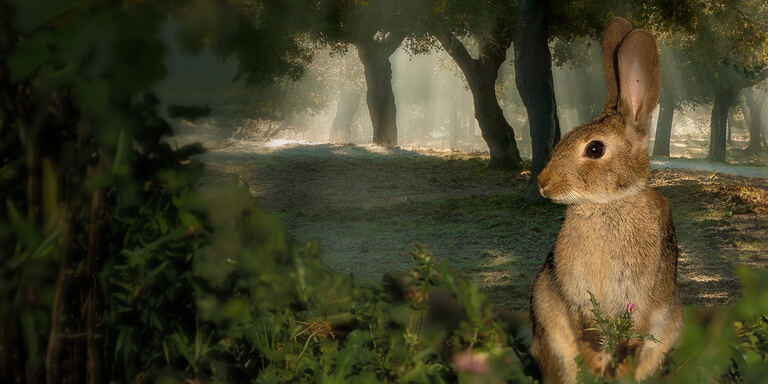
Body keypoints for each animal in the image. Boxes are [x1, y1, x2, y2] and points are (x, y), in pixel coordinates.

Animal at [528, 16, 684, 382]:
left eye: (595, 149)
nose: (543, 183)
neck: (607, 203)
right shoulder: (578, 301)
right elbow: (588, 336)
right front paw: (597, 367)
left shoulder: (638, 302)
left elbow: (629, 343)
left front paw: (615, 371)